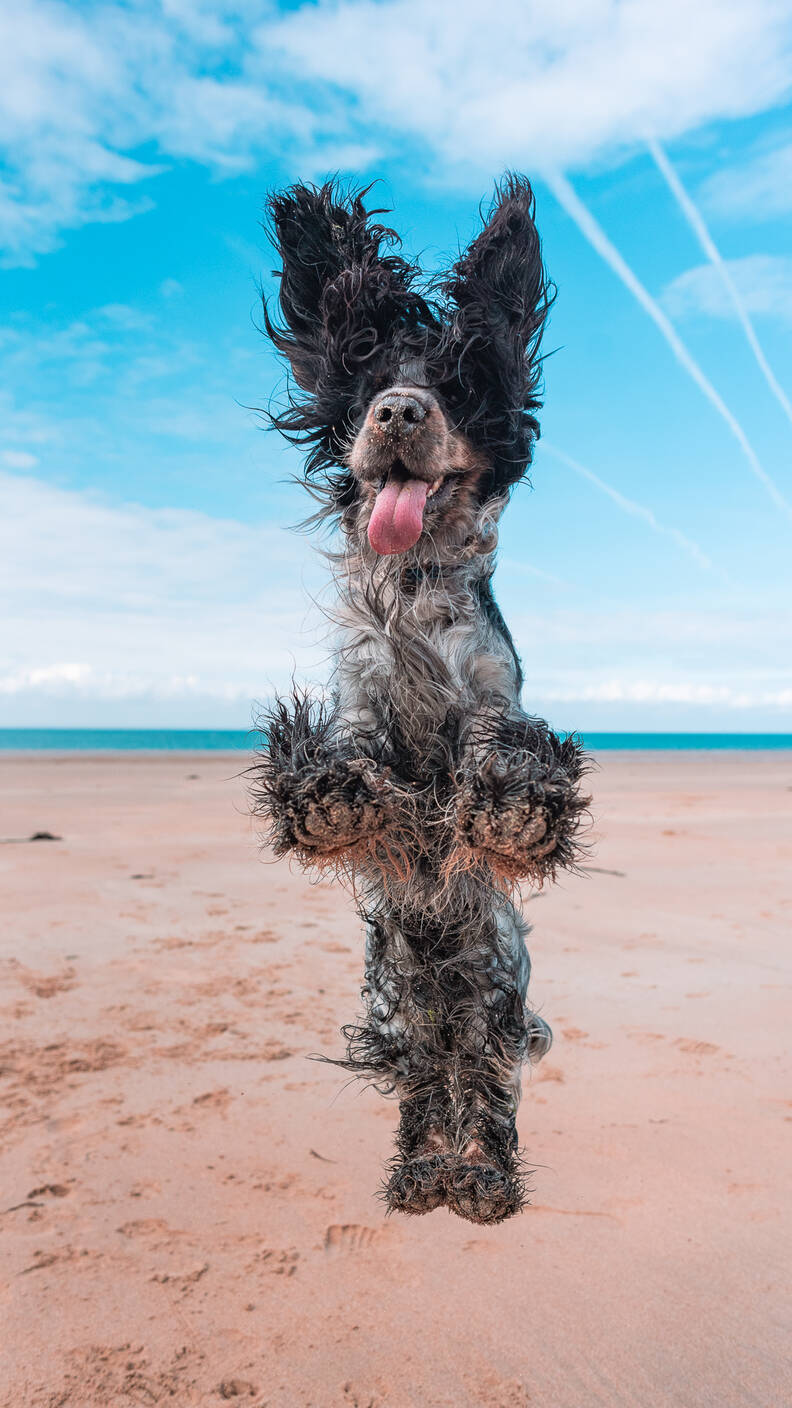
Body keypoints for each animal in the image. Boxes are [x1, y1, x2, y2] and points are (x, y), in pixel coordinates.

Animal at [249, 173, 589, 1222]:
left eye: (456, 385)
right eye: (368, 387)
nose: (399, 413)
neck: (410, 588)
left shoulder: (491, 695)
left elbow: (504, 753)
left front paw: (513, 811)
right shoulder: (356, 693)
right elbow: (347, 756)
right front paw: (329, 801)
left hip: (494, 998)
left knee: (483, 1091)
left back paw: (475, 1176)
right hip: (400, 1003)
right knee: (423, 1087)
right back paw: (418, 1170)